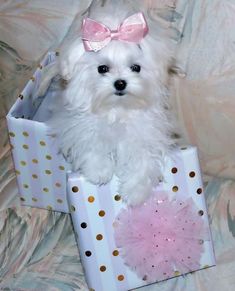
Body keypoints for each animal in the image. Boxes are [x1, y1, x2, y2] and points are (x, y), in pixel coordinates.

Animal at [39, 0, 178, 206]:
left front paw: (135, 191)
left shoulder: (147, 134)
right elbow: (91, 143)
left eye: (136, 67)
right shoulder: (79, 125)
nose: (120, 83)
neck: (118, 109)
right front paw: (99, 171)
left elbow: (143, 159)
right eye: (102, 69)